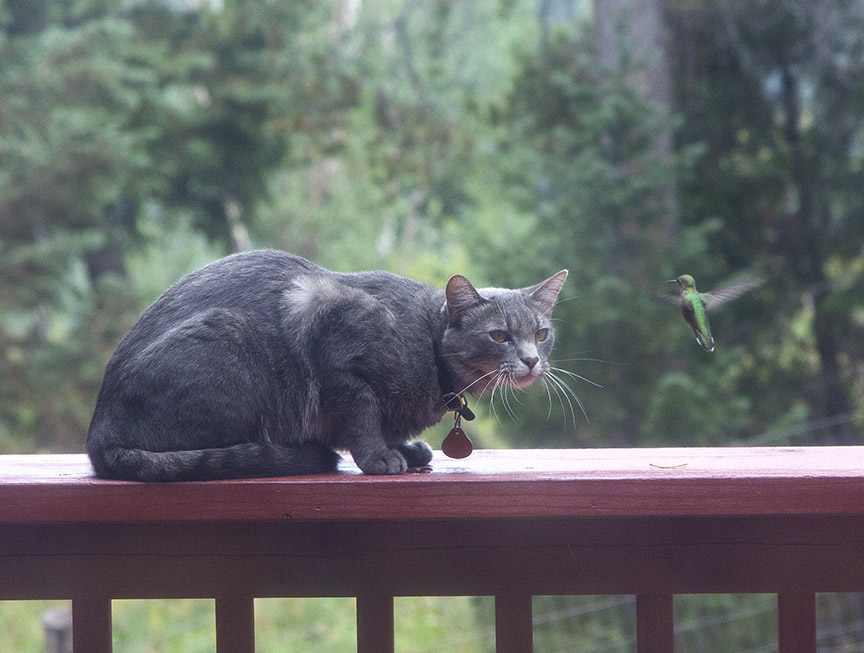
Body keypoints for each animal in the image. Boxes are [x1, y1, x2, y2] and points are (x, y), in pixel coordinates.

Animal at [86, 252, 568, 482]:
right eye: (500, 335)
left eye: (541, 333)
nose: (531, 360)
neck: (428, 342)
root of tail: (99, 433)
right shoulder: (334, 344)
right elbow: (362, 414)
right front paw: (379, 456)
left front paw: (404, 447)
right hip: (232, 336)